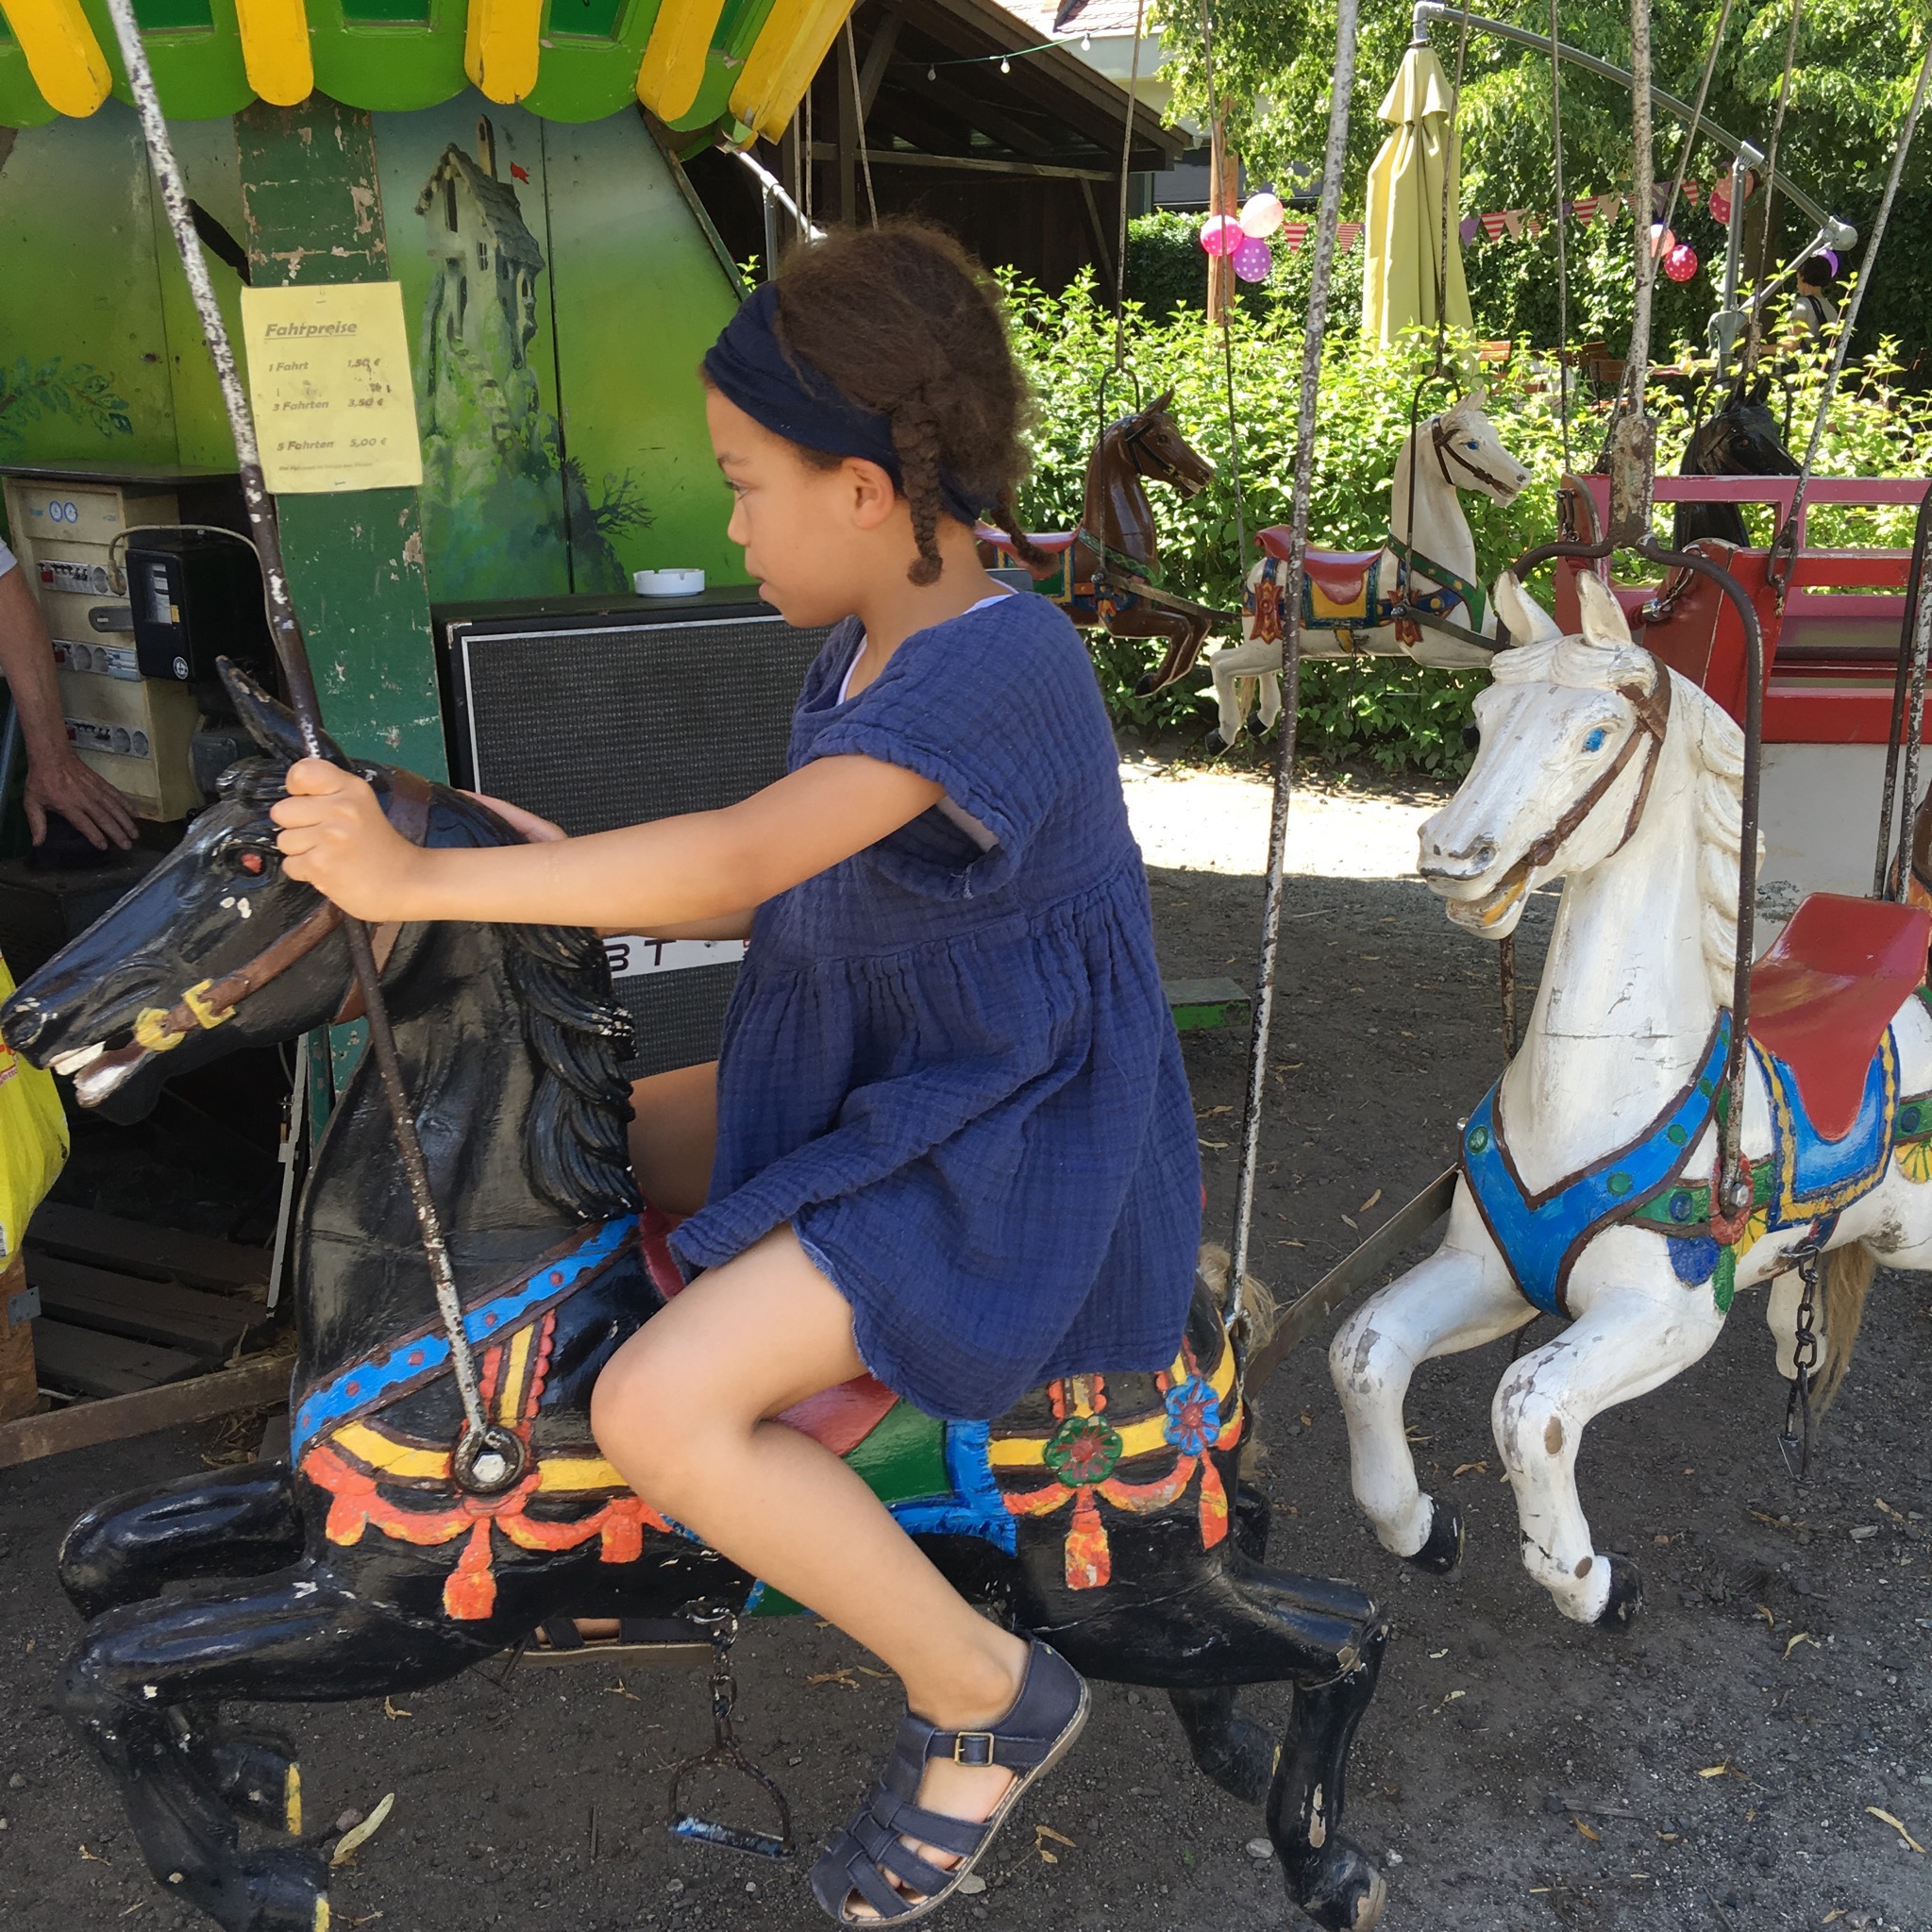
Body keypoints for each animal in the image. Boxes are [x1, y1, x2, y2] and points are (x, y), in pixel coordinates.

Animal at [977, 386, 1225, 698]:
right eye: (1161, 437)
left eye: (1176, 430)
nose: (1206, 473)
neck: (1109, 545)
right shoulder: (1121, 619)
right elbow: (1180, 627)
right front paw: (1148, 684)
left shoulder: (1145, 603)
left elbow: (1199, 622)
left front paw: (1154, 680)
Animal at [1202, 393, 1532, 754]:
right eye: (1470, 443)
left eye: (1495, 434)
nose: (1523, 477)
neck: (1424, 562)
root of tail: (1261, 565)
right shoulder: (1433, 648)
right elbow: (1494, 659)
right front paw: (1475, 729)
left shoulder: (1482, 628)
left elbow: (1520, 644)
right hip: (1262, 646)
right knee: (1219, 663)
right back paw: (1222, 735)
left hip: (1270, 644)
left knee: (1261, 673)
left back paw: (1259, 720)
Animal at [1327, 570, 1932, 1628]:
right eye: (1481, 718)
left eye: (1595, 736)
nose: (1450, 854)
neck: (1592, 1087)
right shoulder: (1487, 1272)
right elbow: (1363, 1349)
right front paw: (1418, 1525)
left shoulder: (1667, 1314)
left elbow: (1526, 1405)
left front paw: (1591, 1582)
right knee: (1817, 1272)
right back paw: (1798, 1335)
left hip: (1919, 1223)